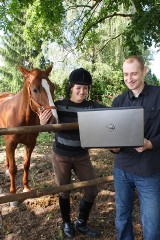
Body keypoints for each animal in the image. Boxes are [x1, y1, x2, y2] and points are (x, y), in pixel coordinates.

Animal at [0, 64, 58, 194]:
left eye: (52, 87)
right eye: (35, 89)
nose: (53, 121)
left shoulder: (30, 144)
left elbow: (26, 165)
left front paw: (26, 187)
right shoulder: (11, 143)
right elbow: (13, 168)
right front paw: (13, 193)